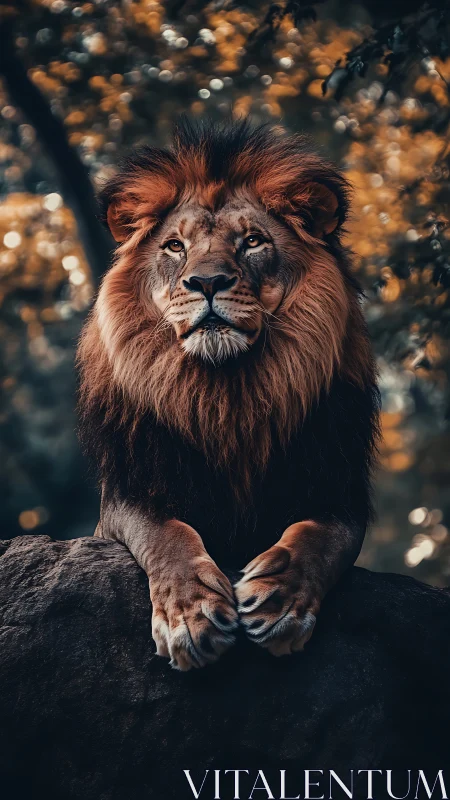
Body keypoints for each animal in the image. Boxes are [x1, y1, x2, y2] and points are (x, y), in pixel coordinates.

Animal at [77, 119, 380, 671]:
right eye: (175, 246)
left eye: (253, 241)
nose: (208, 281)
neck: (226, 395)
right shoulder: (128, 495)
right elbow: (165, 534)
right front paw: (190, 617)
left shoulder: (338, 491)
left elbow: (319, 538)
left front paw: (279, 600)